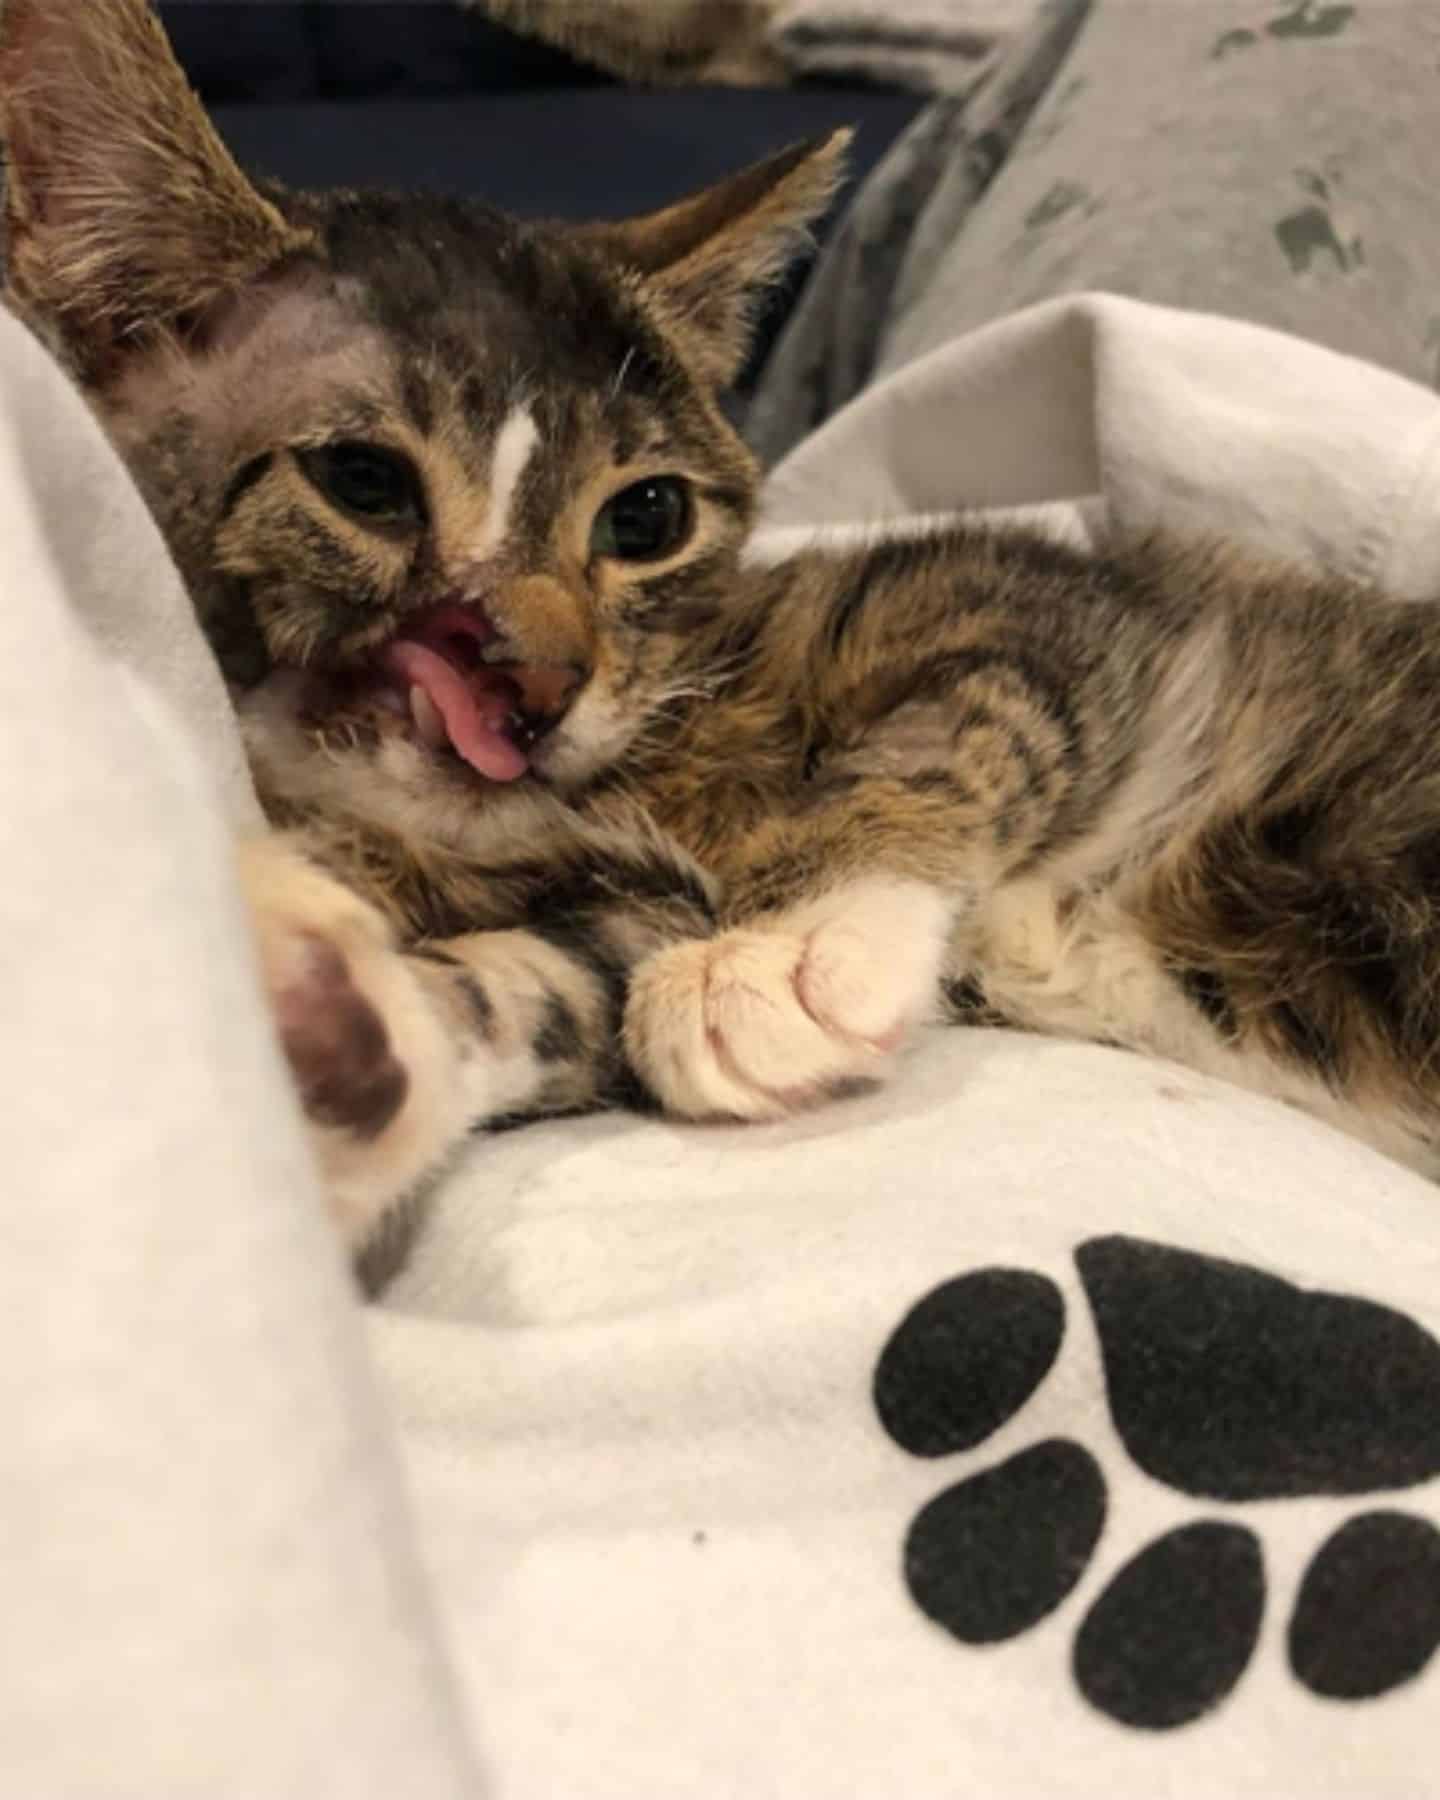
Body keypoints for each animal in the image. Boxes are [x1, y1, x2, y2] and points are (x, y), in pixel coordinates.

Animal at [8, 0, 1440, 1252]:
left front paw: (791, 948)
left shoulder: (1049, 596)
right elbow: (547, 980)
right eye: (363, 482)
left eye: (646, 516)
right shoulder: (606, 904)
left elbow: (963, 716)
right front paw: (306, 1029)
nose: (534, 687)